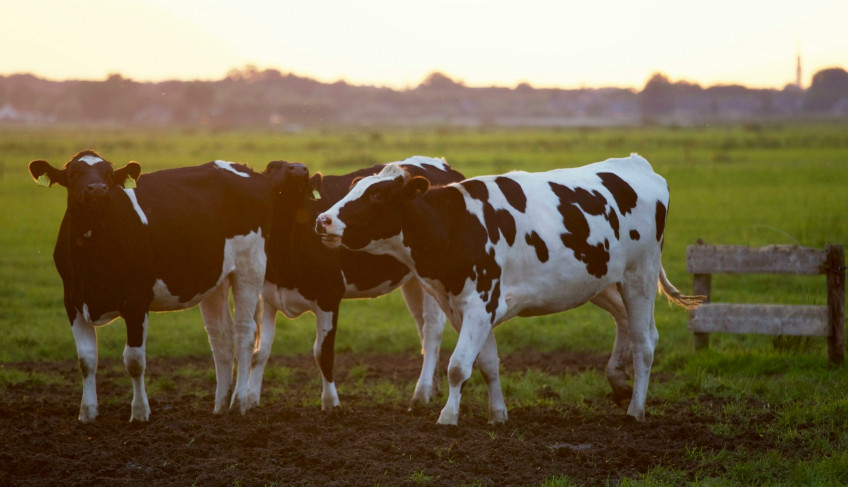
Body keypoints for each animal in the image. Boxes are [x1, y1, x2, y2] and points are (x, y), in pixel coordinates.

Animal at [29, 151, 268, 422]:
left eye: (109, 174)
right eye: (74, 174)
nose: (98, 189)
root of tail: (242, 167)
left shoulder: (136, 302)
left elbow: (134, 361)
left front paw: (140, 412)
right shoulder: (73, 302)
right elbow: (86, 360)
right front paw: (87, 413)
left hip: (250, 268)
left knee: (244, 333)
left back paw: (238, 403)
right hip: (215, 280)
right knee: (221, 337)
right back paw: (219, 405)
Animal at [248, 156, 468, 412]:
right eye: (272, 167)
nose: (300, 169)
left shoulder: (329, 295)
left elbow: (323, 353)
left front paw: (331, 404)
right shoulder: (268, 297)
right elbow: (260, 351)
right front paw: (249, 400)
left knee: (432, 329)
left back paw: (421, 393)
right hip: (414, 281)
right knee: (421, 325)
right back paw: (432, 388)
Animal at [316, 154, 704, 426]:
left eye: (377, 195)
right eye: (352, 188)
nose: (322, 220)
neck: (456, 225)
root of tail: (637, 164)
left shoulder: (480, 303)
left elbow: (458, 366)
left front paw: (448, 417)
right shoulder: (466, 308)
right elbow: (487, 364)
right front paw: (498, 414)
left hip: (640, 276)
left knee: (645, 343)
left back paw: (636, 409)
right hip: (602, 281)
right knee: (627, 323)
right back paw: (619, 383)